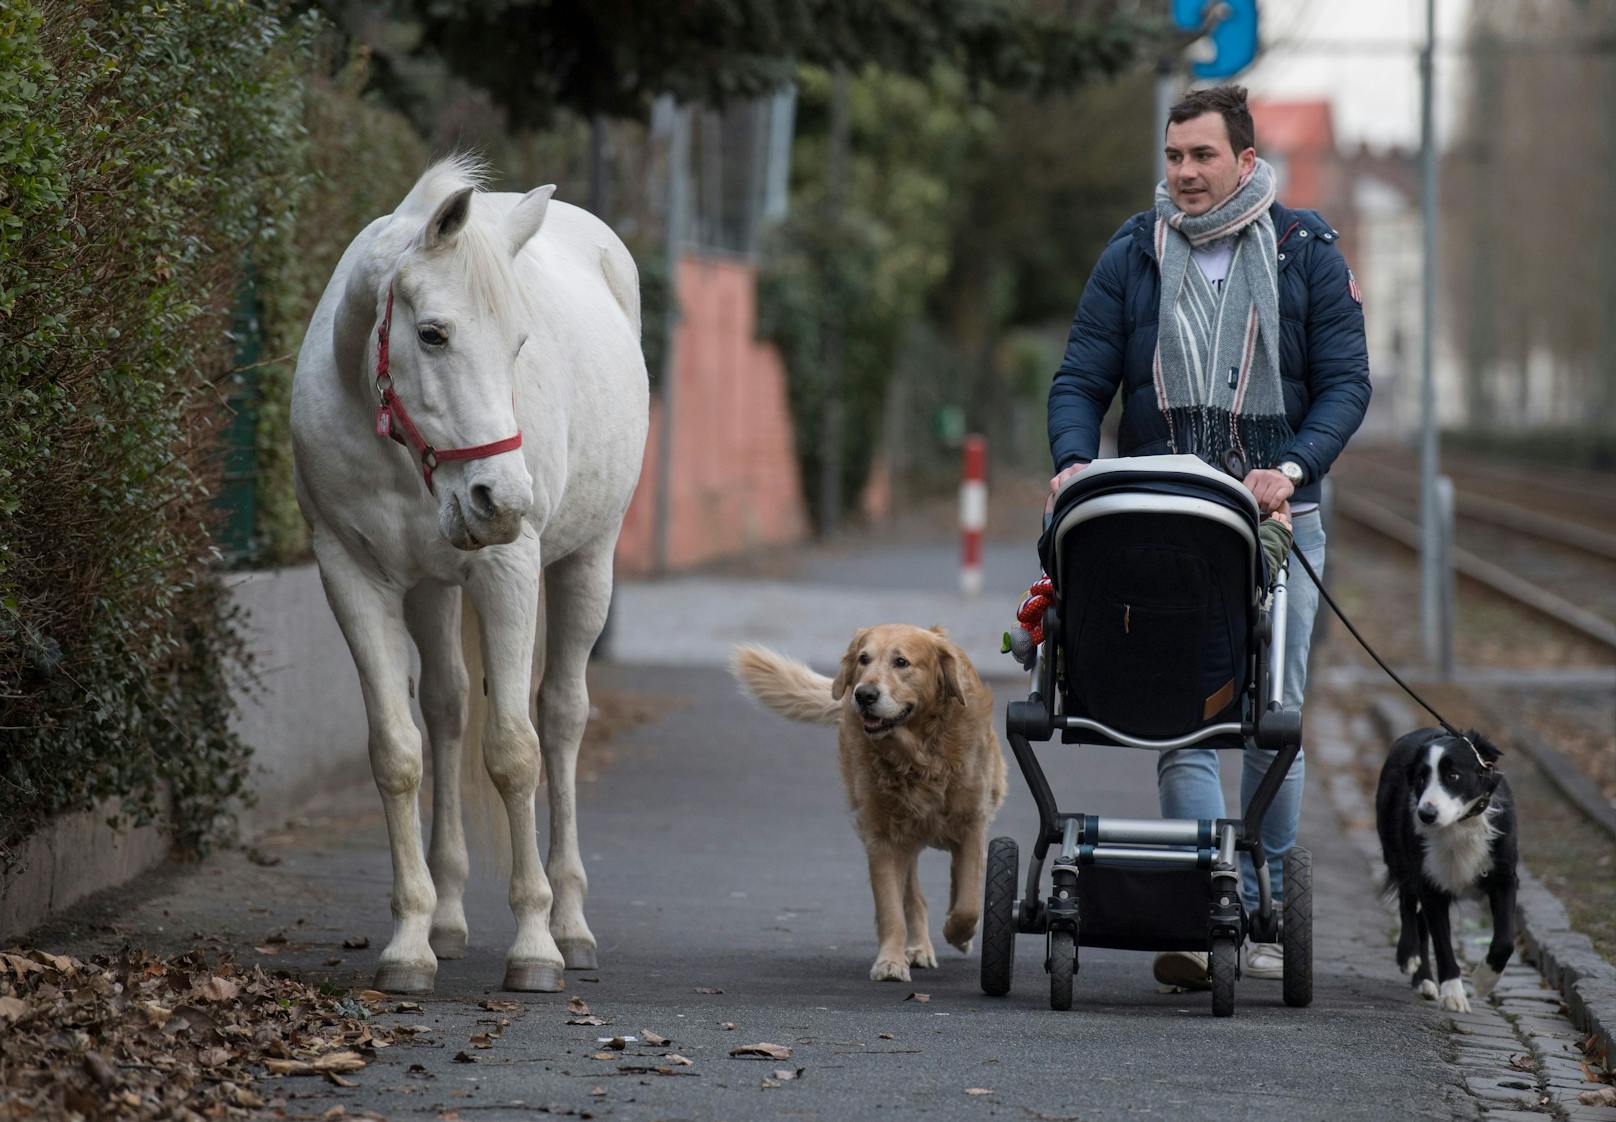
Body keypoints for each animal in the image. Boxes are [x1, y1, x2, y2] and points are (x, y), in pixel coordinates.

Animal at [294, 158, 646, 995]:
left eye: (520, 342)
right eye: (433, 333)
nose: (502, 500)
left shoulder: (507, 571)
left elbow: (516, 752)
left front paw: (535, 946)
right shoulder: (349, 574)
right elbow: (397, 753)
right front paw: (409, 943)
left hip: (589, 563)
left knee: (561, 717)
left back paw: (571, 923)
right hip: (430, 590)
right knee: (450, 711)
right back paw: (448, 919)